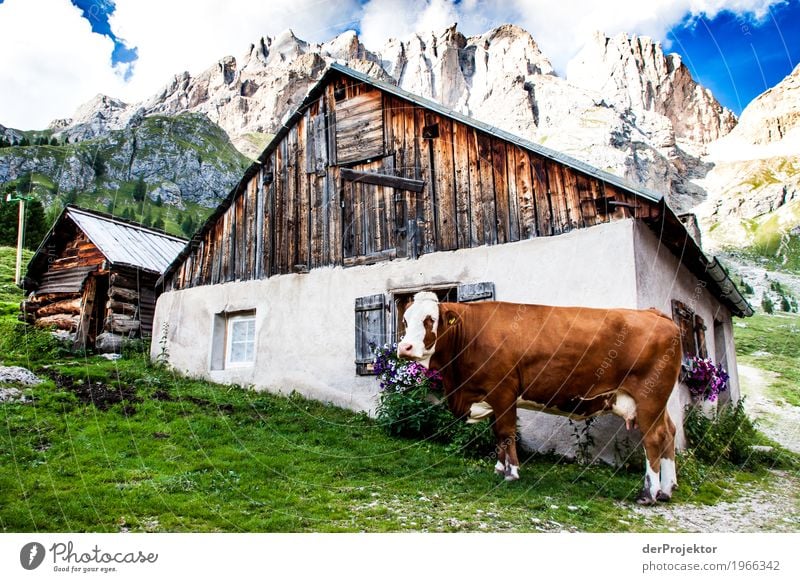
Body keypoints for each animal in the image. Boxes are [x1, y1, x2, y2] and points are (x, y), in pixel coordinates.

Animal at [396, 292, 680, 506]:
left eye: (430, 320)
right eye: (406, 321)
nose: (404, 348)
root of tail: (653, 313)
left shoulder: (504, 392)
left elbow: (506, 432)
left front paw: (512, 473)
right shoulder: (492, 396)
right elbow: (496, 433)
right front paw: (499, 468)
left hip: (649, 397)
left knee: (654, 438)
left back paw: (648, 494)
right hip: (658, 402)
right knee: (669, 432)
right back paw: (667, 490)